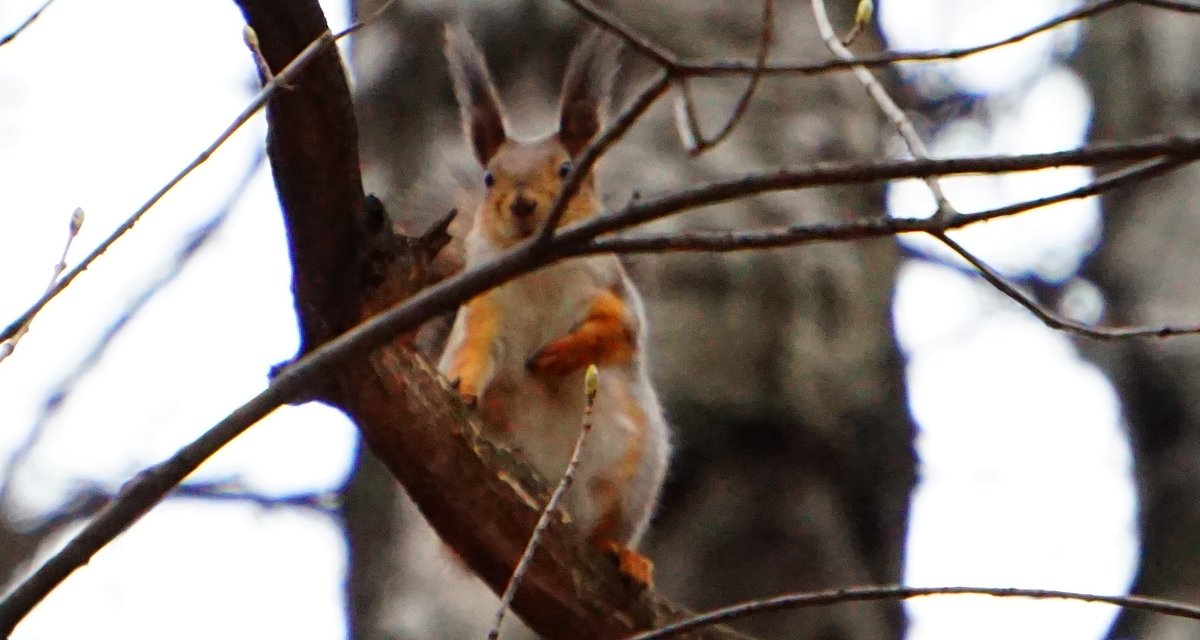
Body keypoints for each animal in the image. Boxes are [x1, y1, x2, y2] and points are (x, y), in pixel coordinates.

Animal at [439, 24, 672, 583]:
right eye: (489, 178)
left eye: (568, 169)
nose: (522, 203)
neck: (538, 266)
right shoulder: (483, 303)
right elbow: (476, 349)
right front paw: (464, 386)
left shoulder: (611, 291)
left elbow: (618, 333)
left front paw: (561, 355)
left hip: (635, 468)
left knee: (607, 530)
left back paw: (623, 554)